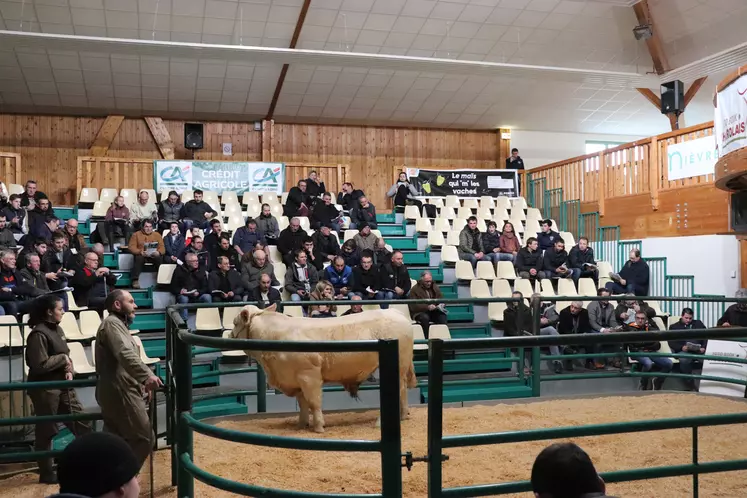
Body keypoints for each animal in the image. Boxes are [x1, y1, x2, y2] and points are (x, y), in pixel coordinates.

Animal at [231, 304, 418, 432]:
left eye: (234, 322)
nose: (230, 335)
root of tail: (395, 312)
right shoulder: (295, 379)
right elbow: (302, 403)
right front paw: (301, 424)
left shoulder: (309, 375)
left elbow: (314, 402)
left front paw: (319, 427)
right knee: (403, 390)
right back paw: (403, 415)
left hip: (398, 366)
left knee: (399, 390)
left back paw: (382, 421)